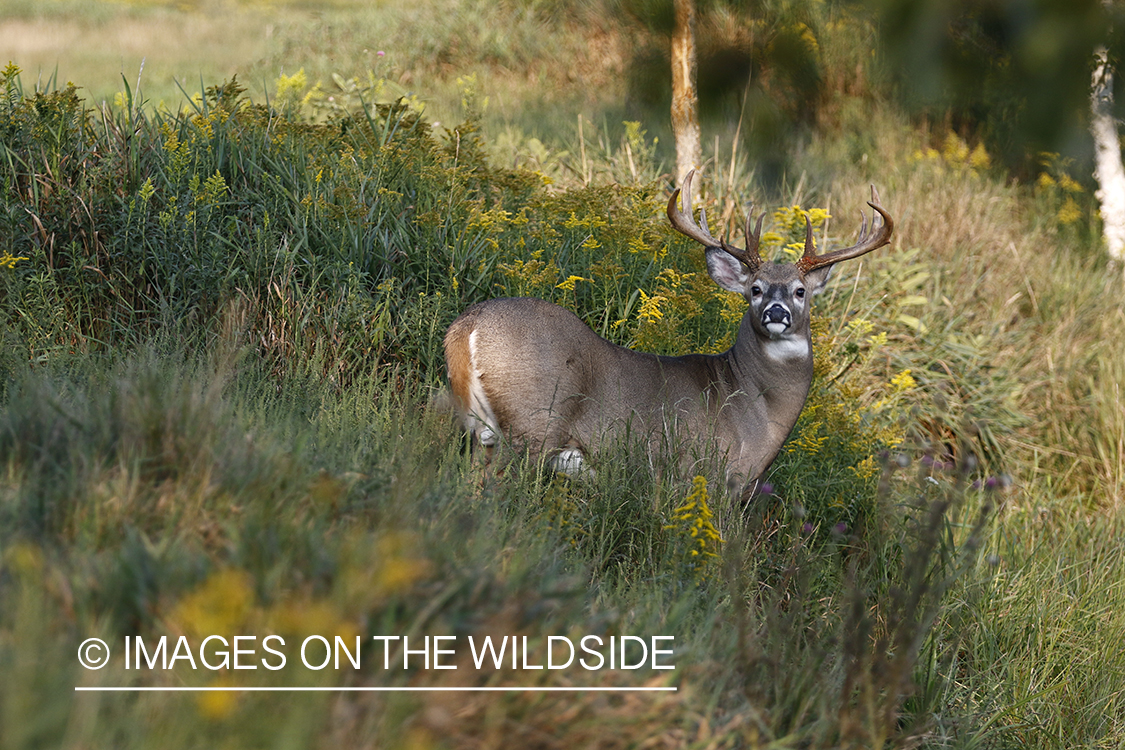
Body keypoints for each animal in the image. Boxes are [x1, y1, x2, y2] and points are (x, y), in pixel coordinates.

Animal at [443, 170, 891, 499]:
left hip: (486, 433)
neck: (756, 407)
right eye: (755, 289)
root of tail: (468, 326)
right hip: (532, 425)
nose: (776, 312)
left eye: (800, 291)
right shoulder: (710, 473)